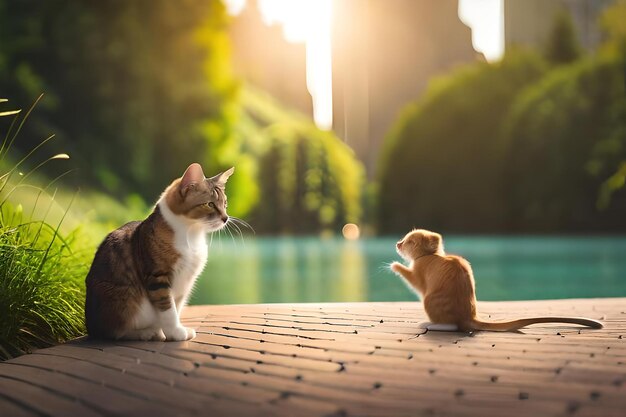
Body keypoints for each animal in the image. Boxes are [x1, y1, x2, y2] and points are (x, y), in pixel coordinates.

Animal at [81, 161, 230, 340]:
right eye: (210, 204)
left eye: (225, 204)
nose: (226, 218)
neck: (191, 234)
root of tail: (91, 328)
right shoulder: (158, 278)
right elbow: (168, 310)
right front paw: (175, 332)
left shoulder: (184, 284)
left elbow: (176, 307)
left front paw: (172, 331)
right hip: (123, 302)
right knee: (116, 331)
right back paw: (147, 332)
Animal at [390, 228, 600, 332]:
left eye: (409, 242)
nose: (398, 243)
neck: (430, 256)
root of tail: (469, 317)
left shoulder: (419, 274)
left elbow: (410, 277)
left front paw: (394, 265)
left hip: (429, 300)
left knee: (451, 325)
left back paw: (429, 324)